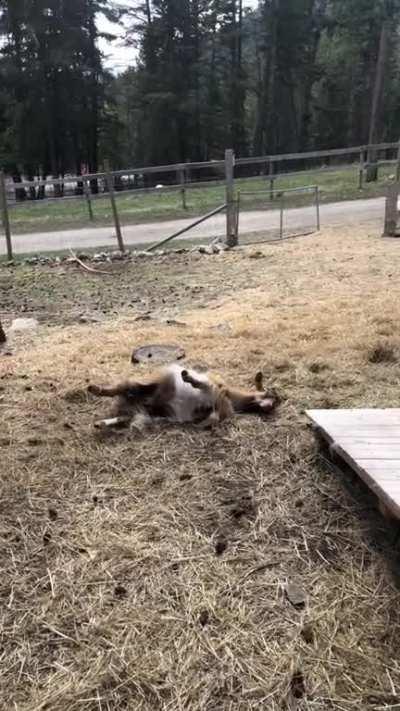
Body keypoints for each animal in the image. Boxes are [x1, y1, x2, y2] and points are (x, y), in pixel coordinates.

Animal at [88, 364, 278, 432]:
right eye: (273, 395)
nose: (270, 406)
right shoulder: (215, 389)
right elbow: (203, 386)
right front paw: (188, 378)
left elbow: (212, 414)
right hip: (144, 384)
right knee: (117, 388)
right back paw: (94, 388)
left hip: (143, 411)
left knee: (123, 416)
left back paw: (100, 423)